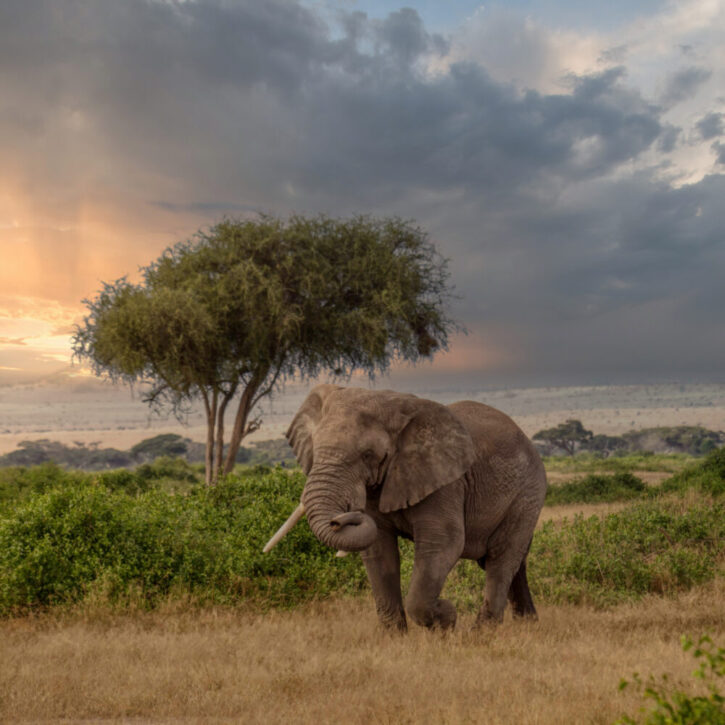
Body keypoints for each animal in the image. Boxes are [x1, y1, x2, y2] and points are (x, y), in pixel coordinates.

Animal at [264, 384, 544, 628]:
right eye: (316, 449)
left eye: (368, 455)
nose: (338, 520)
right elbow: (379, 551)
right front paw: (394, 639)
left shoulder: (445, 482)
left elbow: (444, 543)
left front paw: (447, 618)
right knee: (510, 562)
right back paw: (528, 625)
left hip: (527, 496)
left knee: (500, 558)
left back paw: (481, 635)